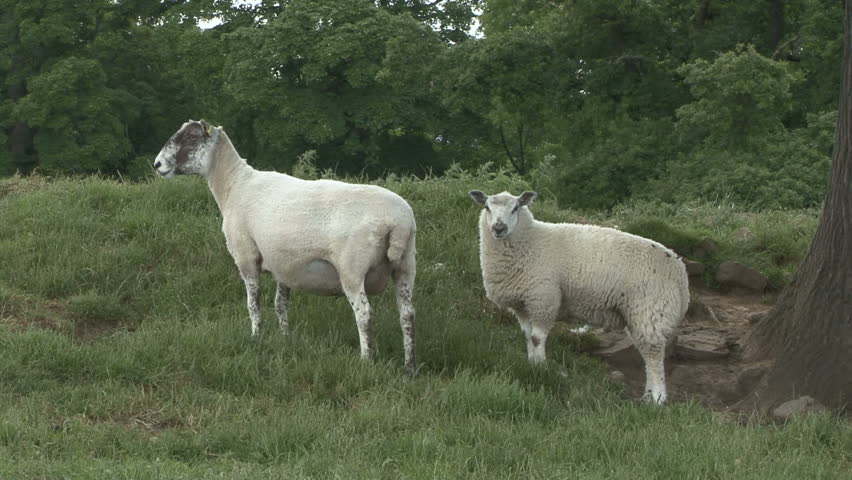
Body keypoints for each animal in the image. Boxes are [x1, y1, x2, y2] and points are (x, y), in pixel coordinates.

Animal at [152, 120, 417, 375]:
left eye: (192, 137)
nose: (157, 164)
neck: (234, 185)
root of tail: (397, 221)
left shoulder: (246, 255)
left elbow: (254, 304)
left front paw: (256, 337)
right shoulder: (283, 265)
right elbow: (280, 304)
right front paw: (285, 338)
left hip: (352, 269)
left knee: (364, 314)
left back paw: (366, 360)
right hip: (406, 265)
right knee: (407, 314)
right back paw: (409, 367)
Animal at [468, 190, 689, 403]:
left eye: (515, 208)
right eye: (487, 207)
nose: (499, 228)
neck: (531, 241)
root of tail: (680, 272)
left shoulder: (543, 298)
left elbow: (537, 338)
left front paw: (541, 368)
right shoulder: (523, 305)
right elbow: (528, 337)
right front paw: (531, 365)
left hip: (651, 311)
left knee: (653, 356)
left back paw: (657, 399)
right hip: (641, 315)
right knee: (649, 354)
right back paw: (649, 396)